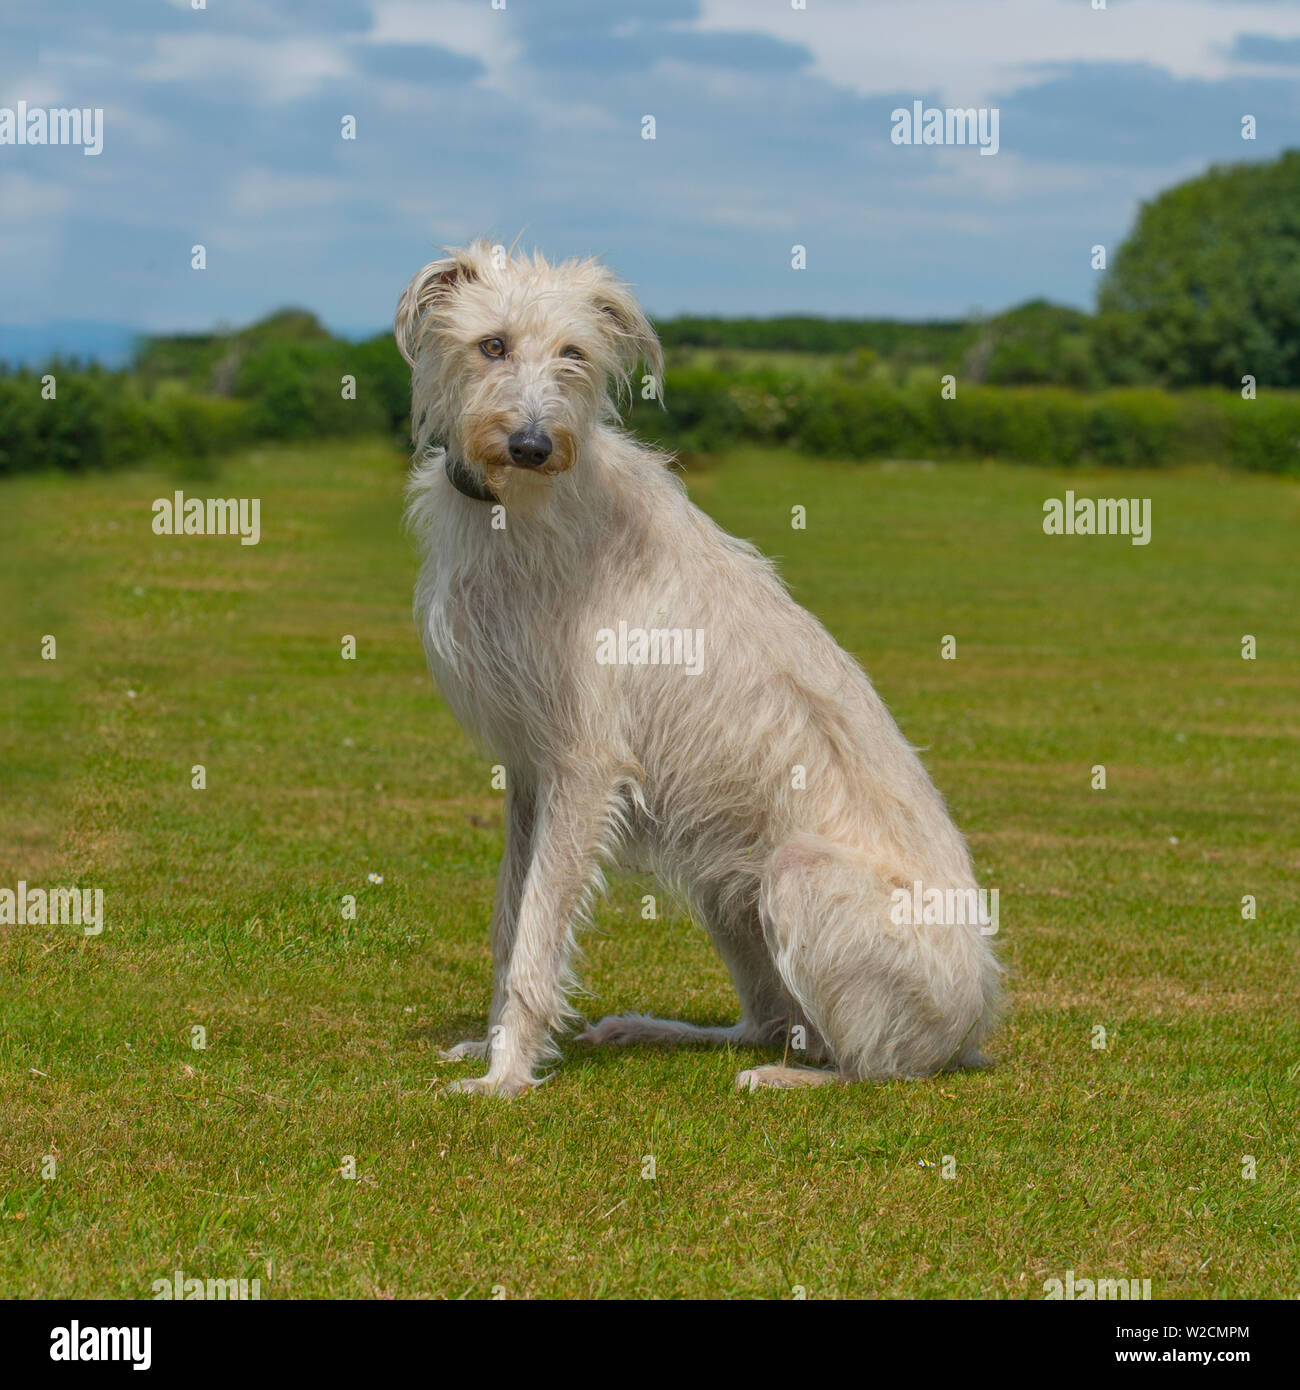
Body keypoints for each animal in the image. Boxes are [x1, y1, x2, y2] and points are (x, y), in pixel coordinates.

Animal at [392, 241, 1001, 1095]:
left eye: (574, 353)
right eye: (493, 345)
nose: (533, 447)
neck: (521, 509)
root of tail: (973, 1025)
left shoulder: (583, 765)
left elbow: (538, 934)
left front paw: (504, 1077)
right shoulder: (530, 770)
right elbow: (510, 920)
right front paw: (490, 1048)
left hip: (798, 873)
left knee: (871, 1068)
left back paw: (788, 1079)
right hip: (726, 885)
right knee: (772, 1022)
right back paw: (656, 1030)